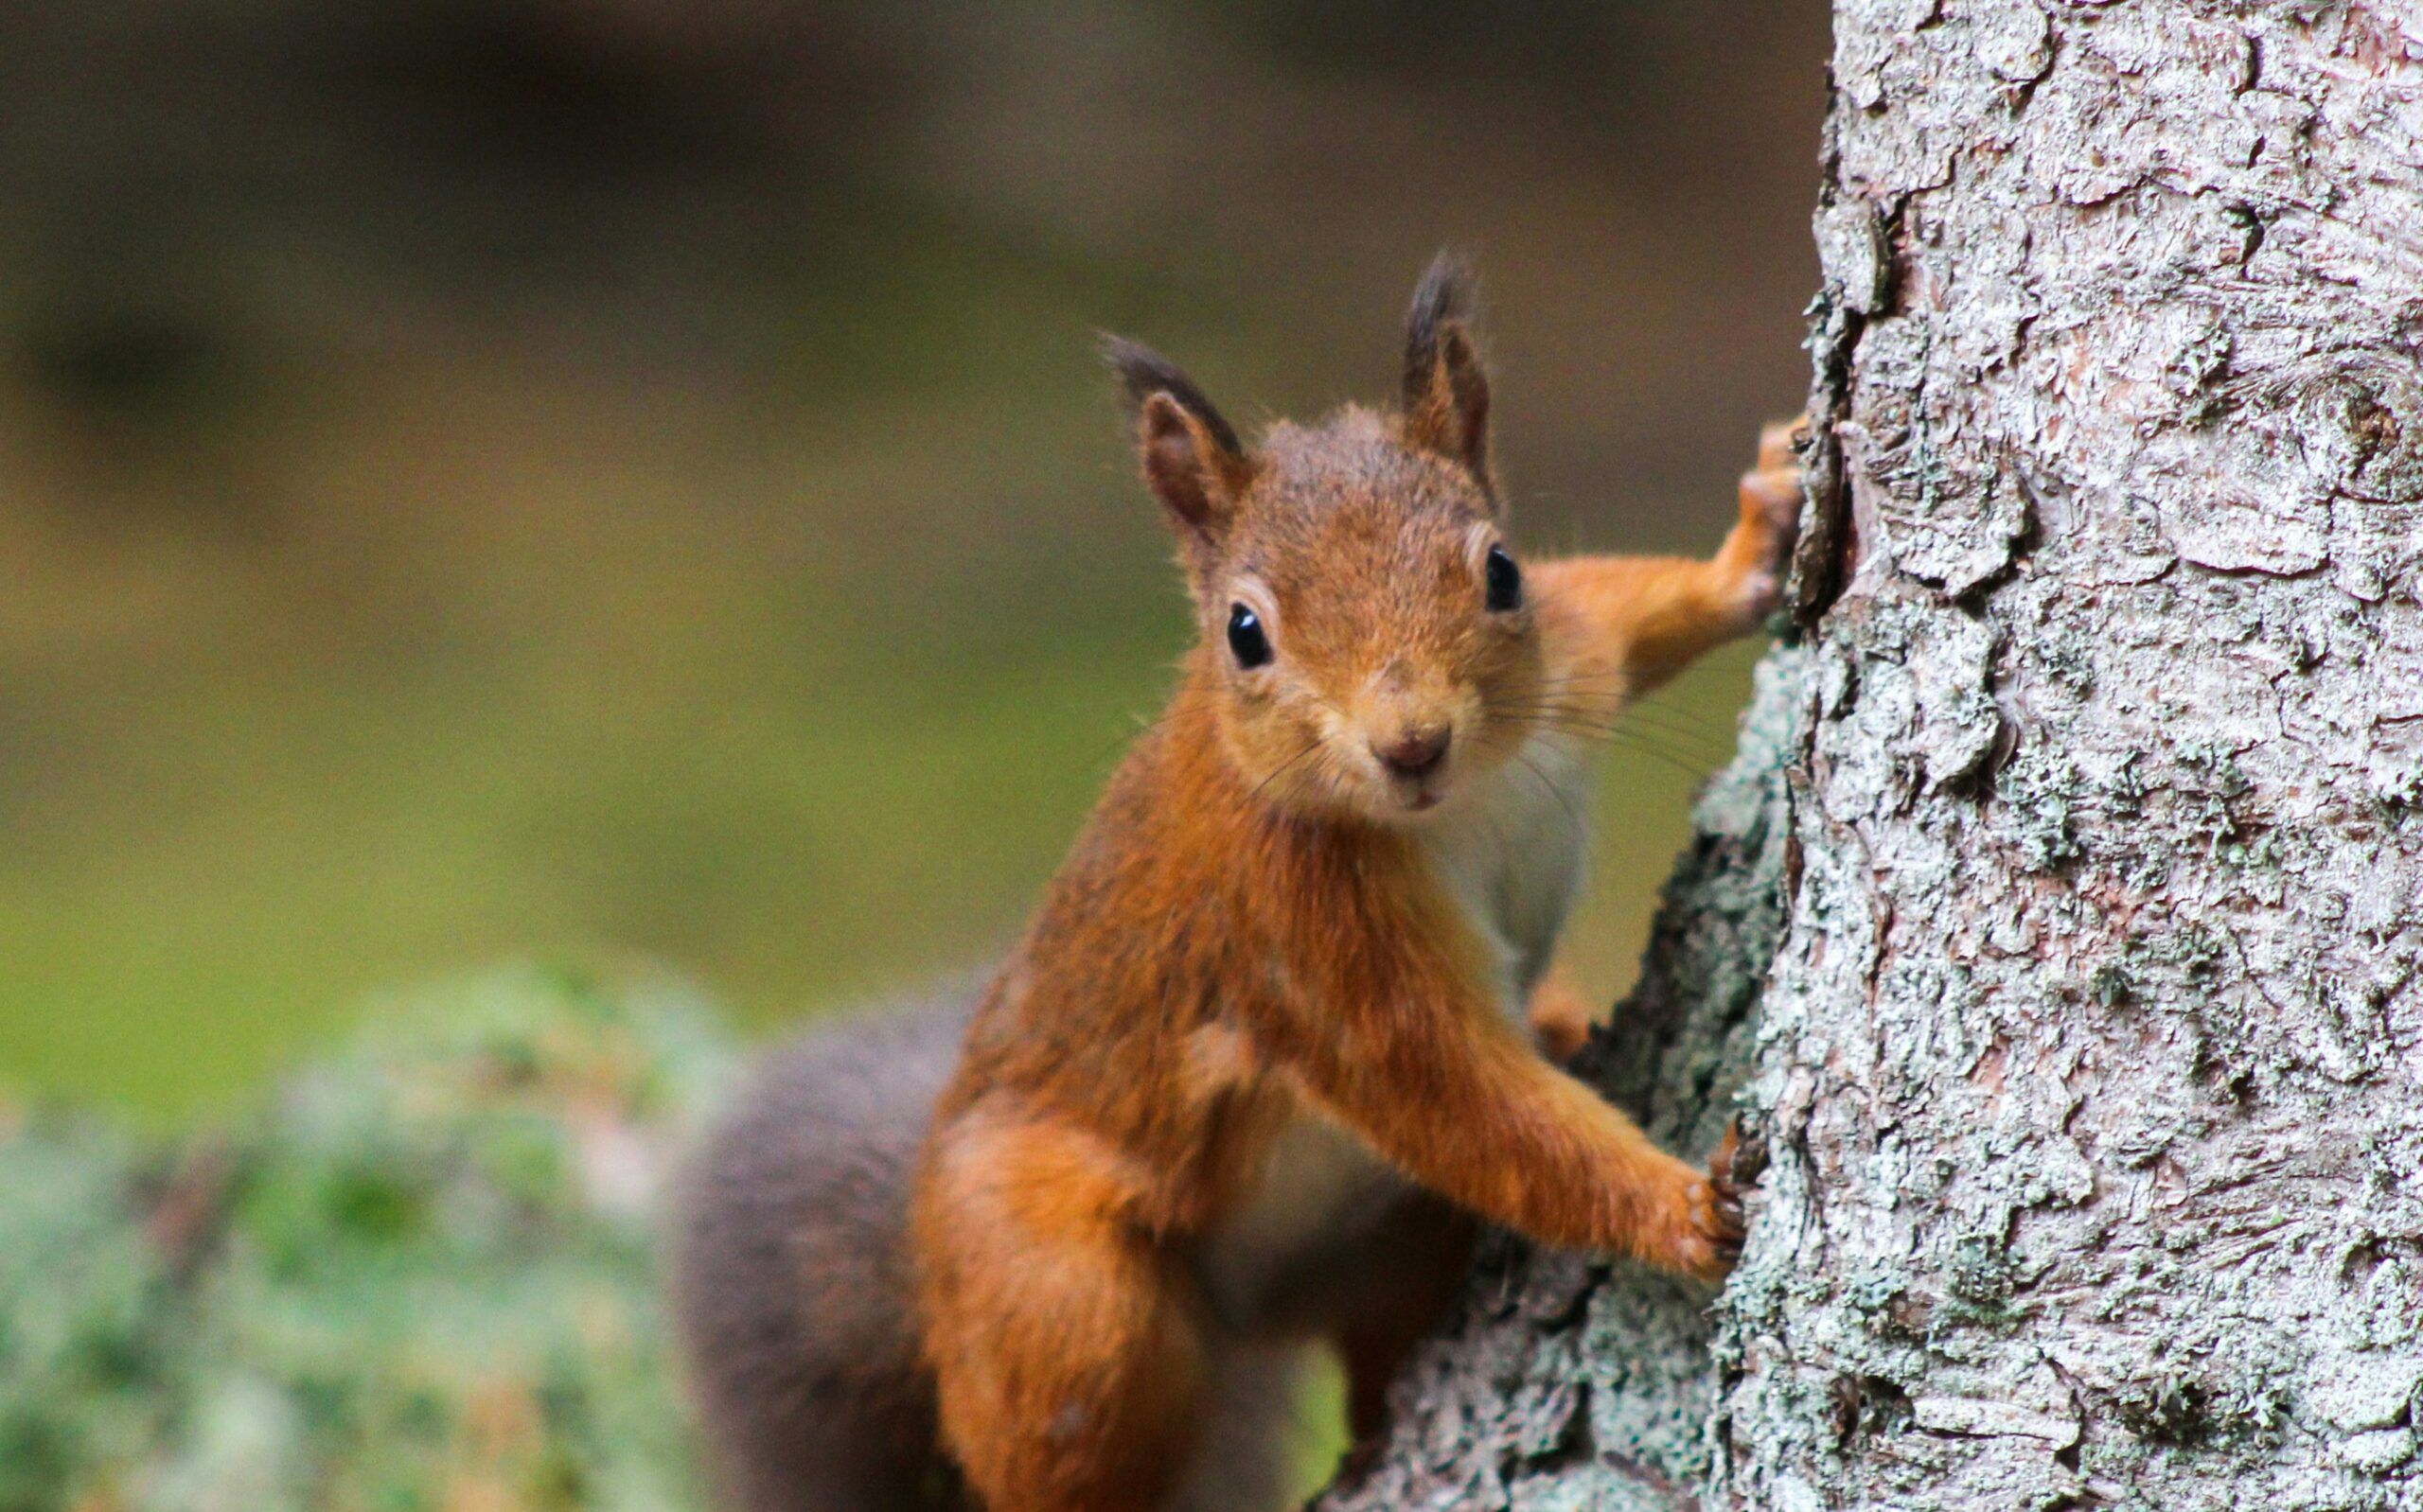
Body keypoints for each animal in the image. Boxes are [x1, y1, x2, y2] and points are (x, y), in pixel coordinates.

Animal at [671, 255, 1804, 1512]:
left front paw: (1755, 541)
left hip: (1386, 1244)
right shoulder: (1305, 935)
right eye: (1244, 632)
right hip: (1053, 1293)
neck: (1458, 806)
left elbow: (1620, 601)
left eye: (1500, 570)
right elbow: (1464, 1102)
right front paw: (1683, 1208)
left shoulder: (1573, 657)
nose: (1411, 743)